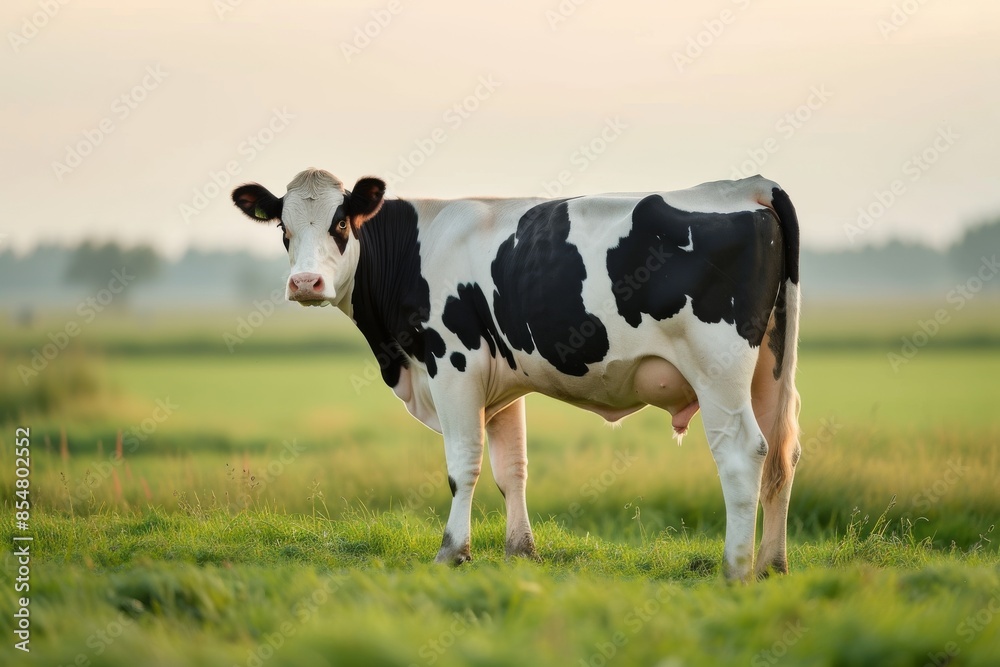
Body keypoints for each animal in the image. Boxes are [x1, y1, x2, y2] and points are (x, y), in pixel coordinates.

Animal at [231, 168, 802, 582]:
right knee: (781, 453)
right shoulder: (502, 385)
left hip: (718, 368)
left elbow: (463, 466)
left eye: (340, 224)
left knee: (742, 453)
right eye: (283, 229)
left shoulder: (454, 365)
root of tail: (747, 185)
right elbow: (513, 469)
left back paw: (735, 569)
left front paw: (452, 552)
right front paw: (520, 552)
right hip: (771, 370)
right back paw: (772, 566)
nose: (306, 282)